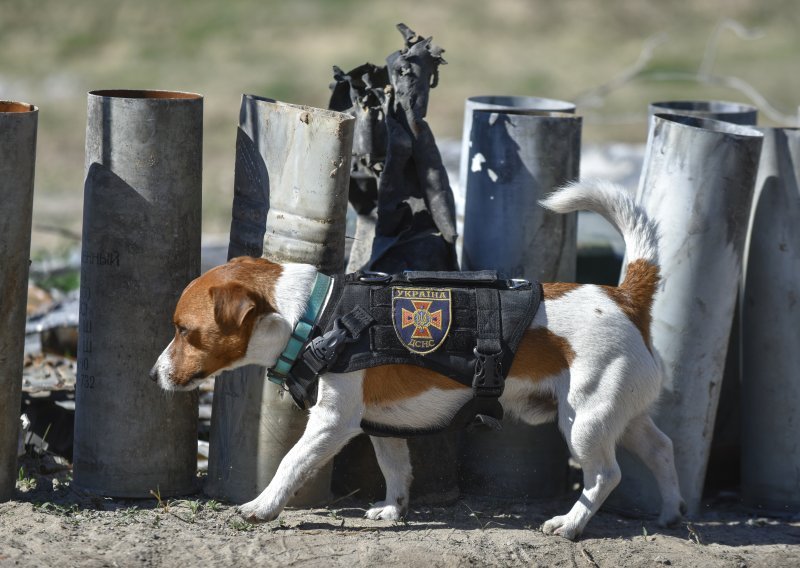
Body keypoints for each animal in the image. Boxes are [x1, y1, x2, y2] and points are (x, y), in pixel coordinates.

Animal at [152, 180, 688, 540]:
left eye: (184, 331)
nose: (154, 374)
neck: (313, 314)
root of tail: (625, 296)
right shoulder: (381, 425)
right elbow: (395, 470)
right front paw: (393, 509)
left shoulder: (332, 422)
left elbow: (290, 464)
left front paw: (262, 506)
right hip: (623, 415)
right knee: (662, 449)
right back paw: (671, 512)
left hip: (584, 422)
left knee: (605, 476)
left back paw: (570, 523)